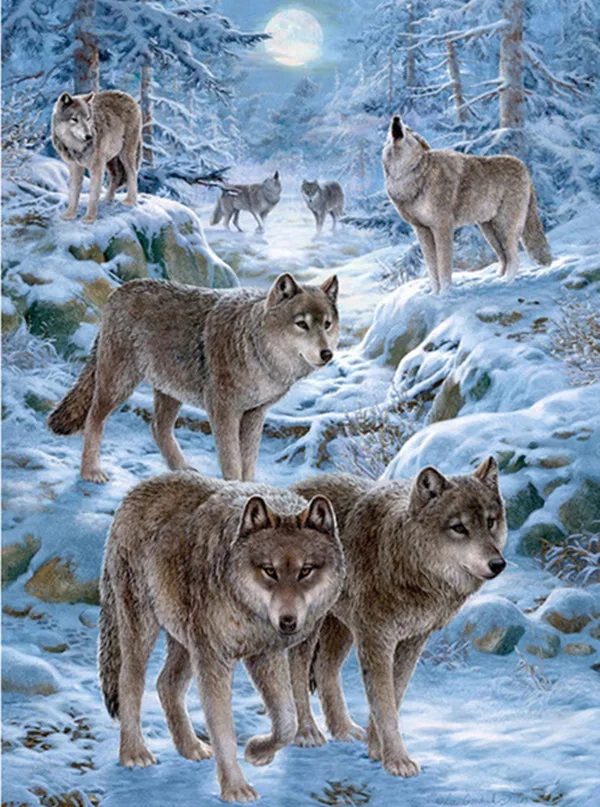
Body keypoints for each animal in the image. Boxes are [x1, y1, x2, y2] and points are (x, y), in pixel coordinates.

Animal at [47, 273, 339, 483]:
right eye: (301, 324)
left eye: (327, 324)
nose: (327, 354)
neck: (254, 349)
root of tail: (118, 291)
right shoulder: (223, 411)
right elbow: (232, 462)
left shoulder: (255, 413)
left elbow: (248, 462)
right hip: (119, 384)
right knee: (94, 419)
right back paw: (90, 472)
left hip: (170, 391)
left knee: (158, 427)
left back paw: (182, 470)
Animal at [52, 90, 142, 224]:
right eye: (74, 119)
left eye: (88, 118)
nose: (89, 136)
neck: (76, 147)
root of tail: (126, 95)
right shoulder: (75, 166)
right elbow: (73, 192)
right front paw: (70, 215)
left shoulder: (96, 167)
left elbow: (93, 194)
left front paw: (90, 218)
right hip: (110, 159)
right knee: (116, 176)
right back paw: (107, 200)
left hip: (125, 155)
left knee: (132, 173)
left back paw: (131, 201)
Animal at [98, 470, 345, 803]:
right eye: (269, 571)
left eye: (306, 570)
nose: (288, 622)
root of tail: (134, 493)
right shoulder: (215, 661)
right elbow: (223, 729)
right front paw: (235, 788)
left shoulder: (264, 655)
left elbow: (286, 722)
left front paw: (258, 752)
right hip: (145, 629)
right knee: (130, 682)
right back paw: (134, 754)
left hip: (186, 642)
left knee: (166, 683)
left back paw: (190, 747)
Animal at [288, 457, 507, 778]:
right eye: (459, 528)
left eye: (490, 522)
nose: (498, 564)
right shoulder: (376, 640)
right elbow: (385, 705)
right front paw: (397, 761)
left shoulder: (412, 640)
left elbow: (395, 694)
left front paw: (375, 750)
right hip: (309, 628)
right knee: (298, 671)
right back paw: (307, 734)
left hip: (342, 629)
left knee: (326, 670)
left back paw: (344, 731)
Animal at [382, 116, 552, 293]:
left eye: (408, 131)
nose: (396, 118)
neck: (408, 177)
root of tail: (523, 167)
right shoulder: (422, 230)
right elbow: (432, 271)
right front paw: (434, 294)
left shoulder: (442, 227)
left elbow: (443, 268)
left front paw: (445, 293)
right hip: (489, 231)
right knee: (504, 258)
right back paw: (494, 280)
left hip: (504, 228)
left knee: (515, 259)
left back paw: (505, 282)